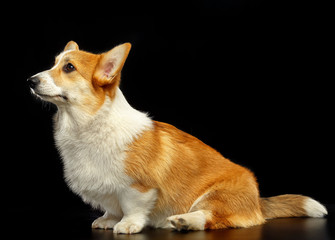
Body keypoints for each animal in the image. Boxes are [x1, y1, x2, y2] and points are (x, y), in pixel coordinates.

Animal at [28, 41, 328, 234]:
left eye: (68, 68)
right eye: (53, 64)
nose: (30, 81)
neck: (88, 125)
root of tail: (257, 200)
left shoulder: (139, 188)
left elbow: (132, 207)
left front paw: (127, 225)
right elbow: (112, 207)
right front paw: (108, 219)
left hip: (216, 196)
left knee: (212, 218)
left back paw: (185, 221)